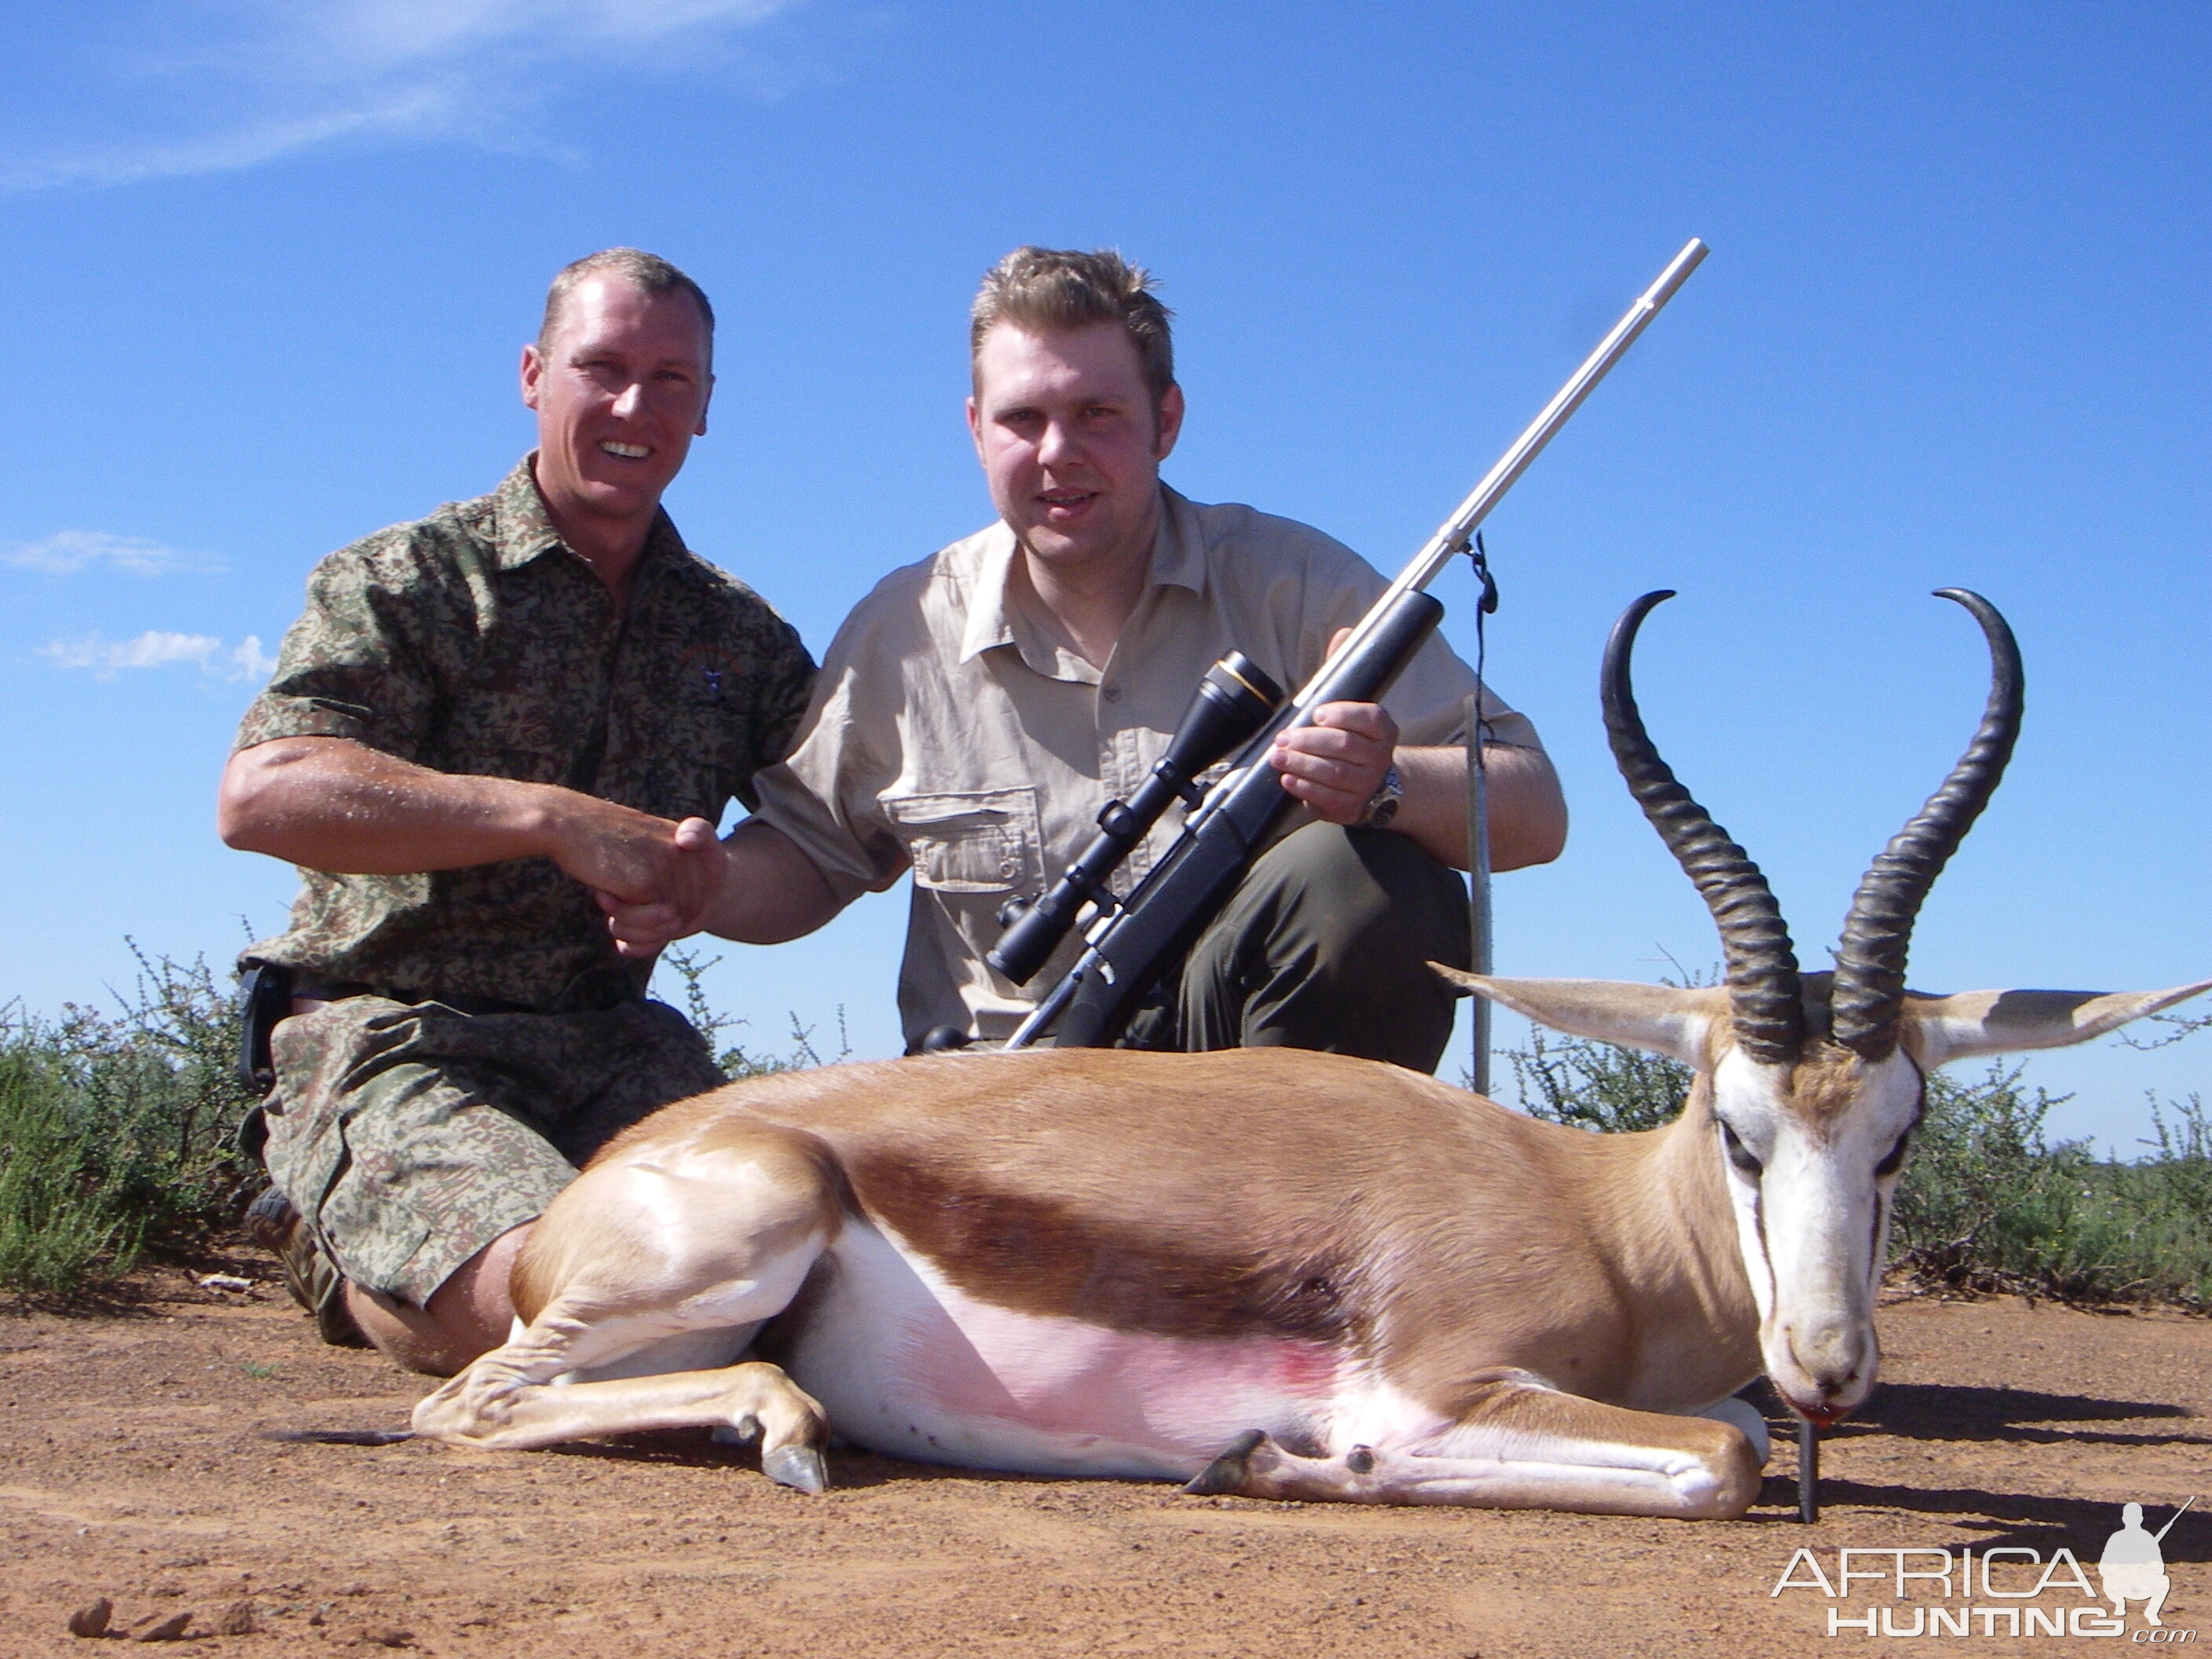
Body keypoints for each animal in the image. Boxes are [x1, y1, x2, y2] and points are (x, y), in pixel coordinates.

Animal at [411, 588, 2194, 1522]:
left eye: (1898, 1133)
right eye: (1737, 1125)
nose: (1832, 1367)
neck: (1600, 1224)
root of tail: (610, 1176)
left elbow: (1737, 1431)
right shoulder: (1443, 1383)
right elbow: (1723, 1457)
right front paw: (1281, 1457)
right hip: (738, 1235)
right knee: (467, 1405)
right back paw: (787, 1433)